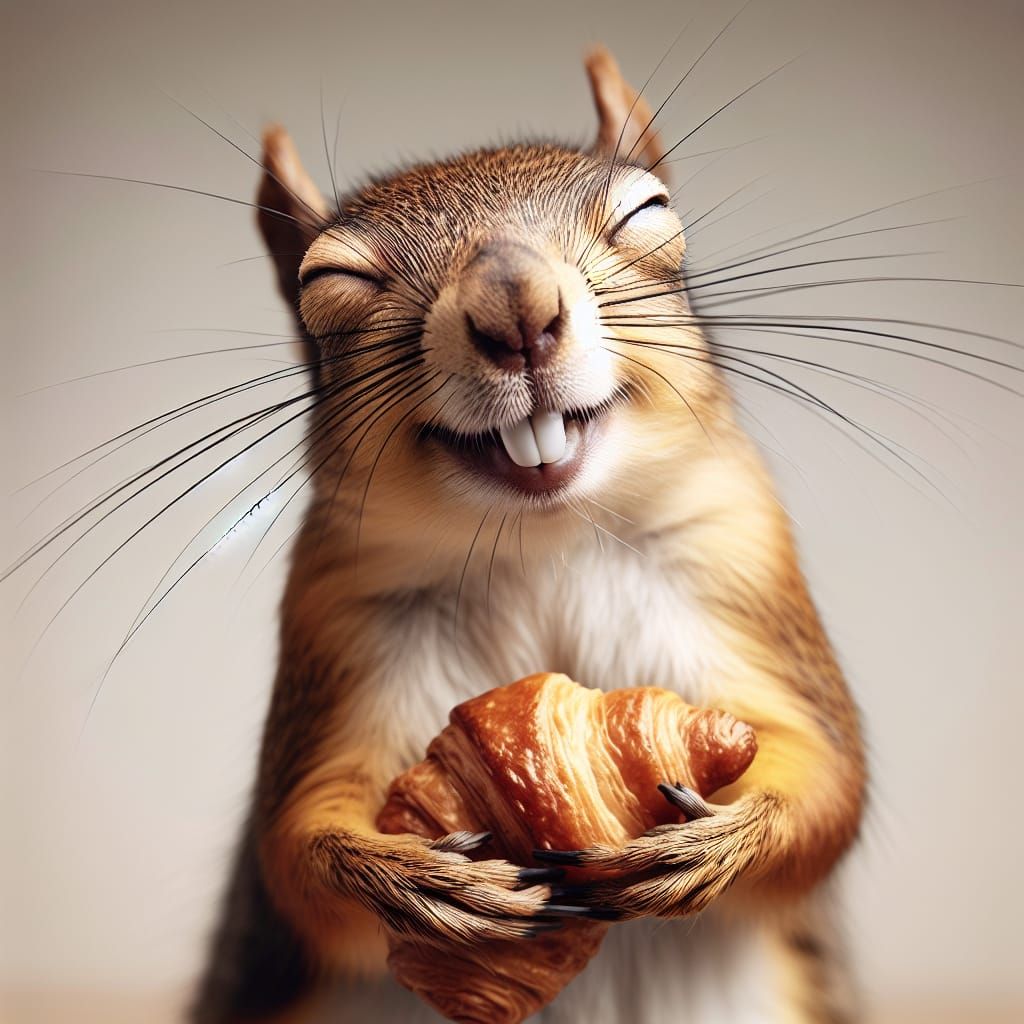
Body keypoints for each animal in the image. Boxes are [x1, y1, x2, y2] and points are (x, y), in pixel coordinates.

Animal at [191, 46, 866, 1024]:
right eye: (329, 283)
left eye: (649, 212)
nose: (515, 306)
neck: (538, 545)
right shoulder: (337, 630)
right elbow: (299, 851)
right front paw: (410, 883)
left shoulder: (740, 563)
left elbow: (826, 779)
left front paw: (717, 843)